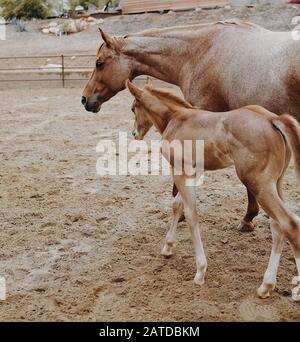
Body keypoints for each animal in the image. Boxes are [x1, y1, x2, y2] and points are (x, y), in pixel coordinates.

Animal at [126, 80, 300, 300]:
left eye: (134, 108)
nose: (134, 134)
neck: (176, 118)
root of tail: (272, 119)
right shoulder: (194, 171)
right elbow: (177, 205)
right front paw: (168, 247)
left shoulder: (180, 170)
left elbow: (191, 214)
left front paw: (200, 271)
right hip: (276, 183)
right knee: (277, 226)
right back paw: (266, 286)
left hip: (259, 185)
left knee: (290, 224)